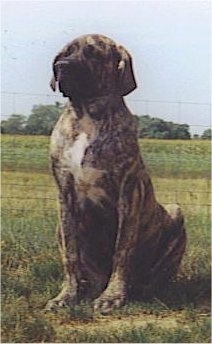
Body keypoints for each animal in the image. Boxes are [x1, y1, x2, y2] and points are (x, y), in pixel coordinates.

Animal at [46, 33, 186, 314]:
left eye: (93, 53)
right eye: (64, 53)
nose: (62, 66)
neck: (87, 116)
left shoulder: (128, 193)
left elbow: (122, 250)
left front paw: (112, 296)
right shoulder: (64, 194)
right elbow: (71, 254)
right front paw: (66, 295)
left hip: (176, 213)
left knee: (155, 276)